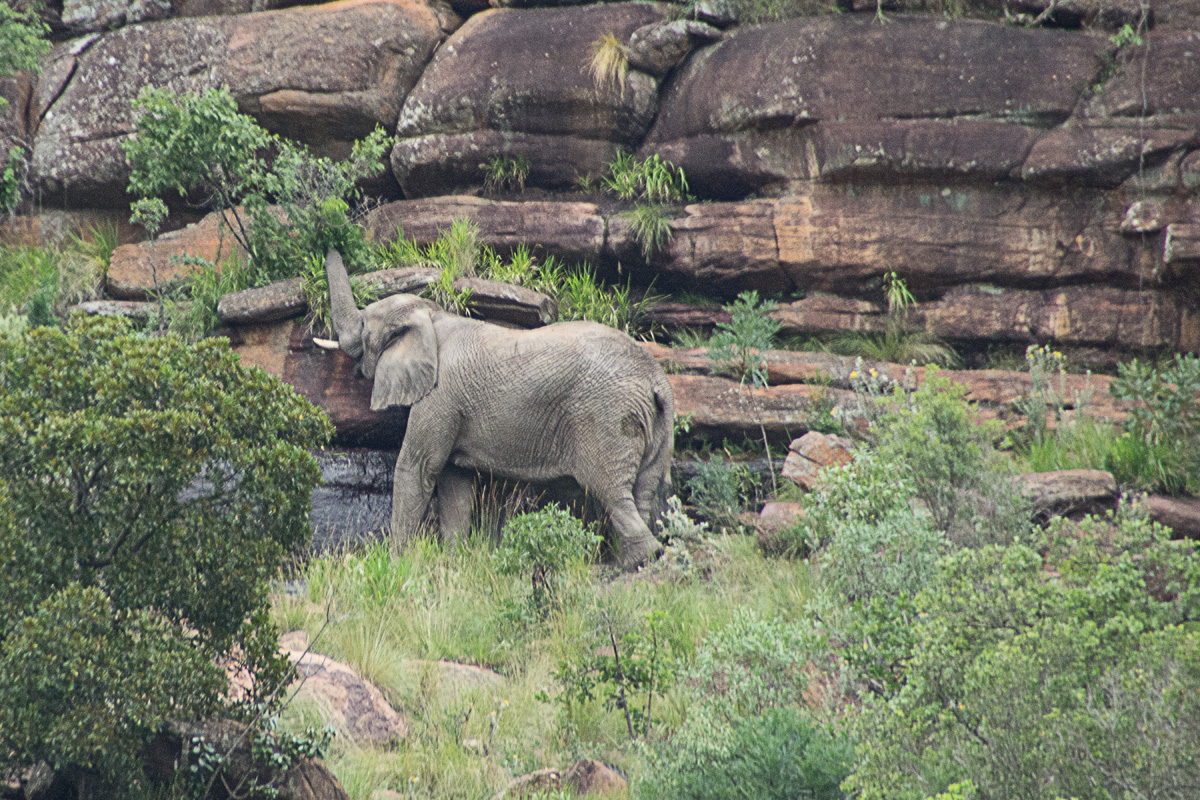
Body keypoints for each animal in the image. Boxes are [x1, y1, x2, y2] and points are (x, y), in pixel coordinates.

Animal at [319, 250, 676, 568]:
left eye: (363, 326)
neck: (434, 317)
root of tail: (656, 378)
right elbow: (455, 481)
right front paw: (454, 563)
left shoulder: (440, 396)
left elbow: (417, 468)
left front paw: (397, 566)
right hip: (653, 423)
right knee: (643, 488)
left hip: (604, 416)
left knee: (609, 488)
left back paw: (631, 564)